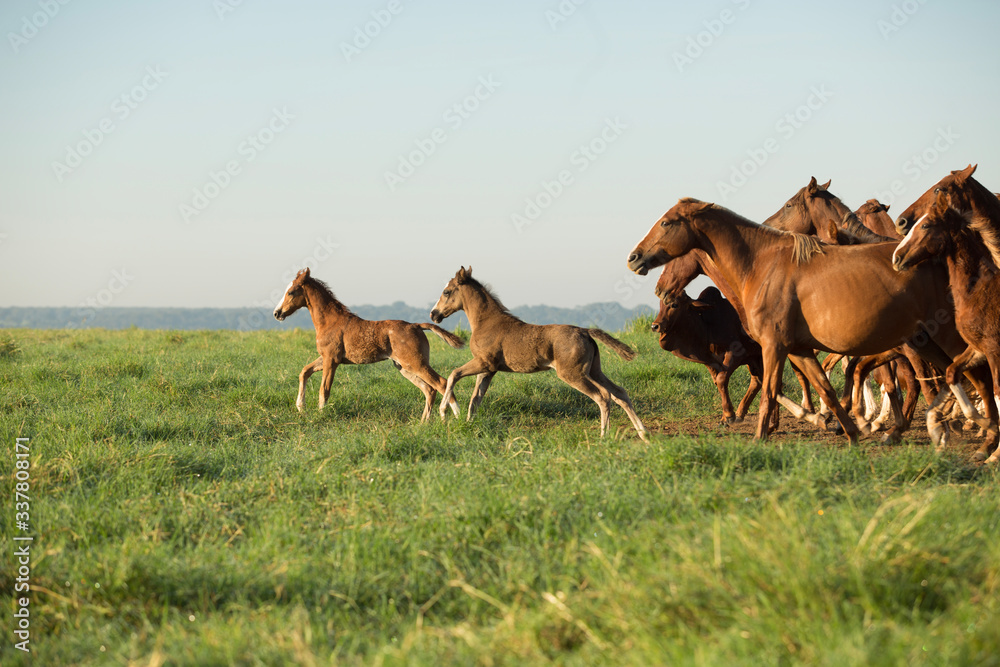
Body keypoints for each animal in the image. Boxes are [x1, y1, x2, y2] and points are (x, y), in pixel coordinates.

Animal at [273, 268, 464, 421]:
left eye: (291, 292)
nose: (277, 313)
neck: (329, 321)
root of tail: (416, 325)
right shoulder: (326, 358)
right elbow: (304, 372)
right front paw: (300, 407)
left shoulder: (331, 360)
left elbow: (324, 389)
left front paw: (321, 415)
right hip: (404, 367)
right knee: (429, 390)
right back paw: (423, 422)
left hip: (416, 363)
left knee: (441, 383)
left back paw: (457, 416)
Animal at [429, 266, 648, 439]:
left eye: (446, 292)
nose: (433, 314)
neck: (486, 323)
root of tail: (585, 331)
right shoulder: (488, 370)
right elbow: (475, 399)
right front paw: (468, 425)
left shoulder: (484, 363)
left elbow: (454, 374)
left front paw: (444, 412)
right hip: (594, 370)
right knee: (619, 393)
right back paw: (643, 433)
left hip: (573, 373)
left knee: (603, 396)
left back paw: (604, 436)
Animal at [626, 198, 988, 446]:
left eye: (667, 223)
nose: (634, 257)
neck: (760, 265)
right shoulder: (799, 350)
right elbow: (824, 388)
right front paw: (850, 433)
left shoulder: (772, 348)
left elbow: (770, 390)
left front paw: (760, 437)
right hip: (924, 341)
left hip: (946, 337)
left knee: (973, 376)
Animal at [893, 192, 1000, 461]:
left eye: (926, 225)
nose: (896, 258)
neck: (979, 289)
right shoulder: (976, 348)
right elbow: (952, 374)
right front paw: (984, 427)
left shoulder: (994, 350)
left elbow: (996, 391)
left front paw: (994, 452)